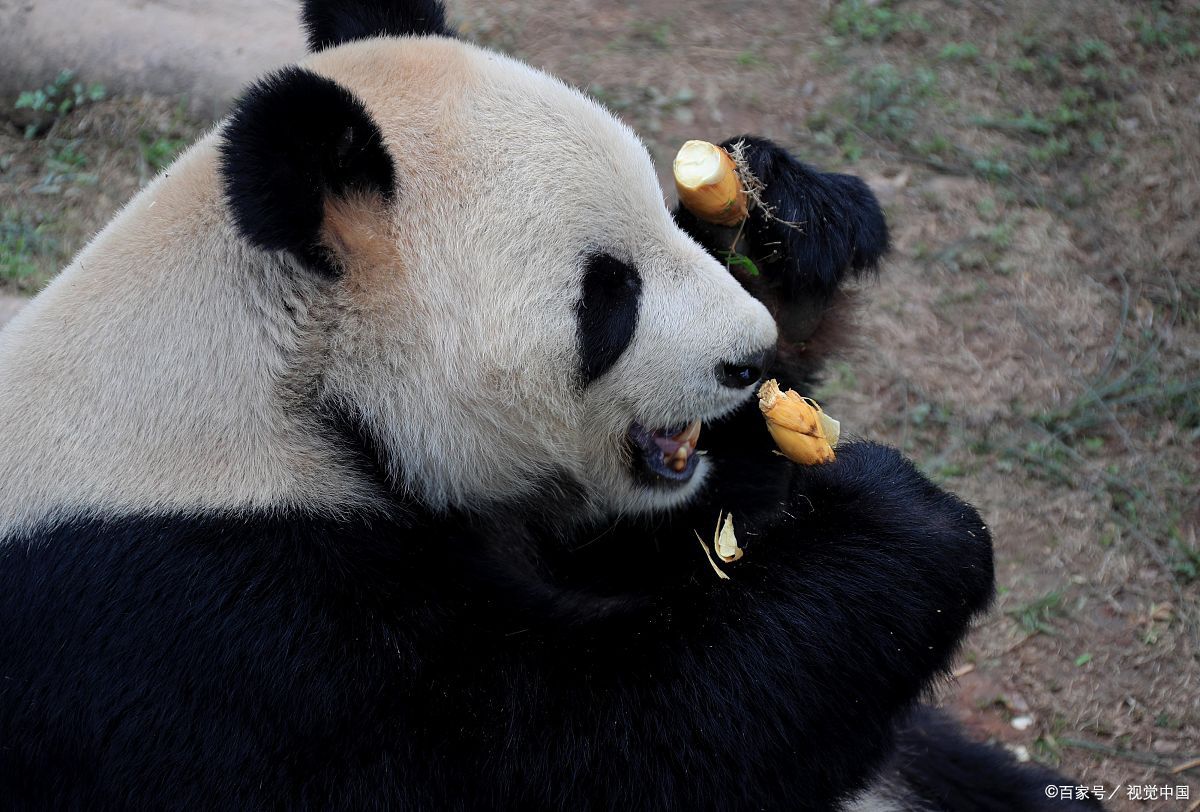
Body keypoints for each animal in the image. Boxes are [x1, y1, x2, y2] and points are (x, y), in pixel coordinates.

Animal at [0, 1, 1104, 810]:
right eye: (607, 293)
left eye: (666, 217)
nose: (748, 357)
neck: (290, 377)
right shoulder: (209, 625)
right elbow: (557, 754)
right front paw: (901, 524)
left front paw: (788, 225)